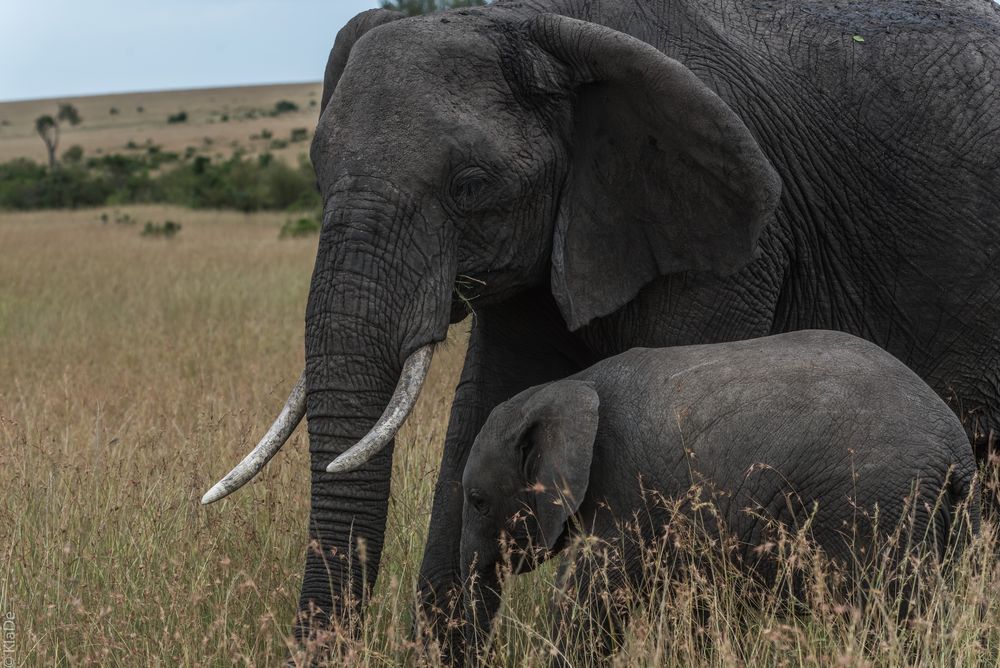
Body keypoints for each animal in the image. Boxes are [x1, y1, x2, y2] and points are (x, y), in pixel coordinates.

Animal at [460, 328, 976, 664]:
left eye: (478, 501)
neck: (567, 387)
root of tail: (955, 448)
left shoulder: (622, 493)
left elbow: (590, 605)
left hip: (879, 503)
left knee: (890, 617)